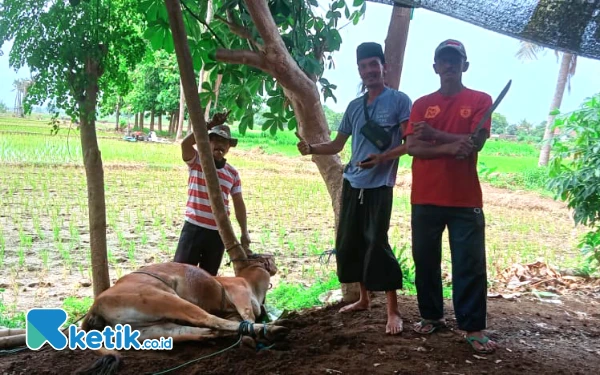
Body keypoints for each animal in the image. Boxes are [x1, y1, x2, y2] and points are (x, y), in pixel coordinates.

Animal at [77, 254, 288, 374]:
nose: (275, 264)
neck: (251, 282)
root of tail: (95, 306)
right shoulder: (240, 296)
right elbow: (245, 316)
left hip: (151, 331)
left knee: (203, 330)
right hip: (167, 300)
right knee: (209, 320)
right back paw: (269, 329)